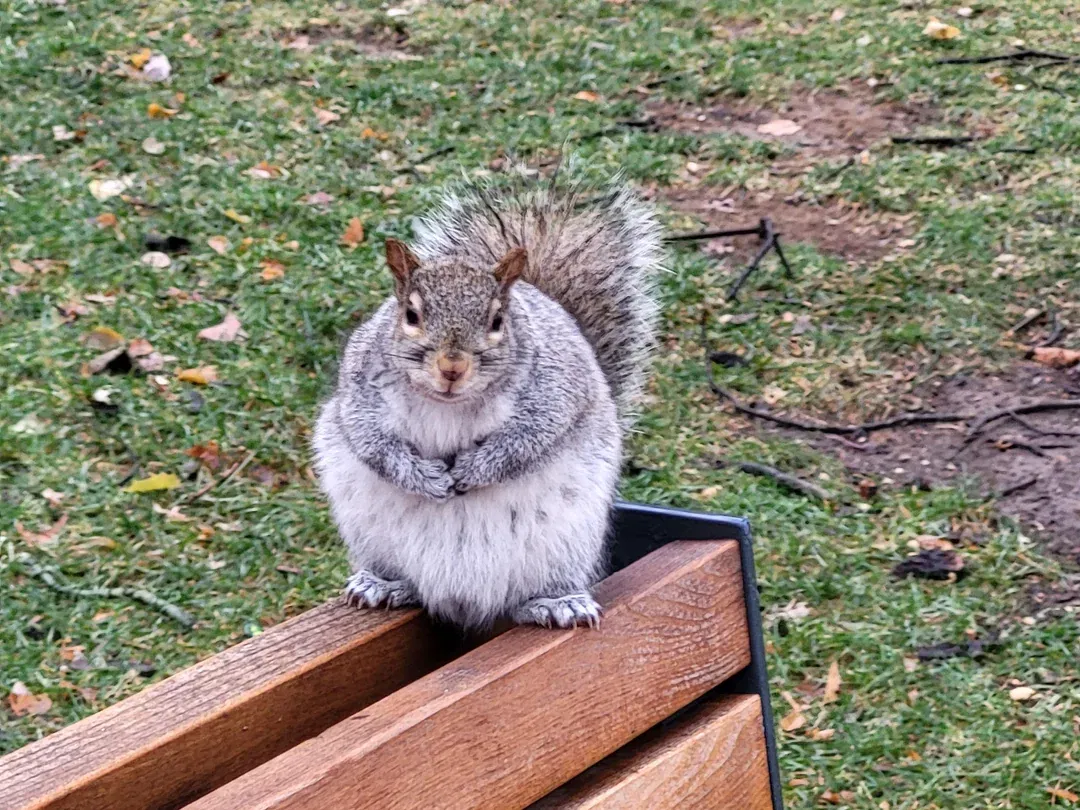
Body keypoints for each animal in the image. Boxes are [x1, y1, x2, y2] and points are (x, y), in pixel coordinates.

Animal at [312, 164, 663, 629]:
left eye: (497, 320)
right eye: (411, 314)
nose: (452, 368)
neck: (448, 403)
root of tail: (463, 602)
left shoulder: (554, 391)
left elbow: (528, 438)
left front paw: (475, 470)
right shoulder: (359, 392)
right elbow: (373, 443)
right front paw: (424, 477)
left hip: (565, 544)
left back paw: (556, 603)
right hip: (371, 535)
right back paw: (383, 584)